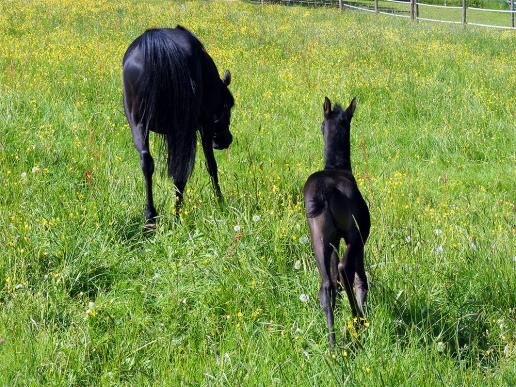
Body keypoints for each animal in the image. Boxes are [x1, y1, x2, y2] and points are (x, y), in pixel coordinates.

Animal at [122, 26, 235, 224]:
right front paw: (220, 201)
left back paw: (151, 218)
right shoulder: (204, 126)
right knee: (181, 172)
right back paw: (176, 214)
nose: (226, 140)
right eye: (228, 105)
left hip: (138, 124)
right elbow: (211, 165)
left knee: (146, 162)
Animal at [302, 96, 370, 346]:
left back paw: (332, 345)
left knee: (326, 284)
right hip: (354, 235)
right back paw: (358, 322)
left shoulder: (332, 240)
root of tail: (325, 191)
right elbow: (361, 279)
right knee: (345, 270)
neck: (338, 166)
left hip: (318, 236)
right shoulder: (358, 237)